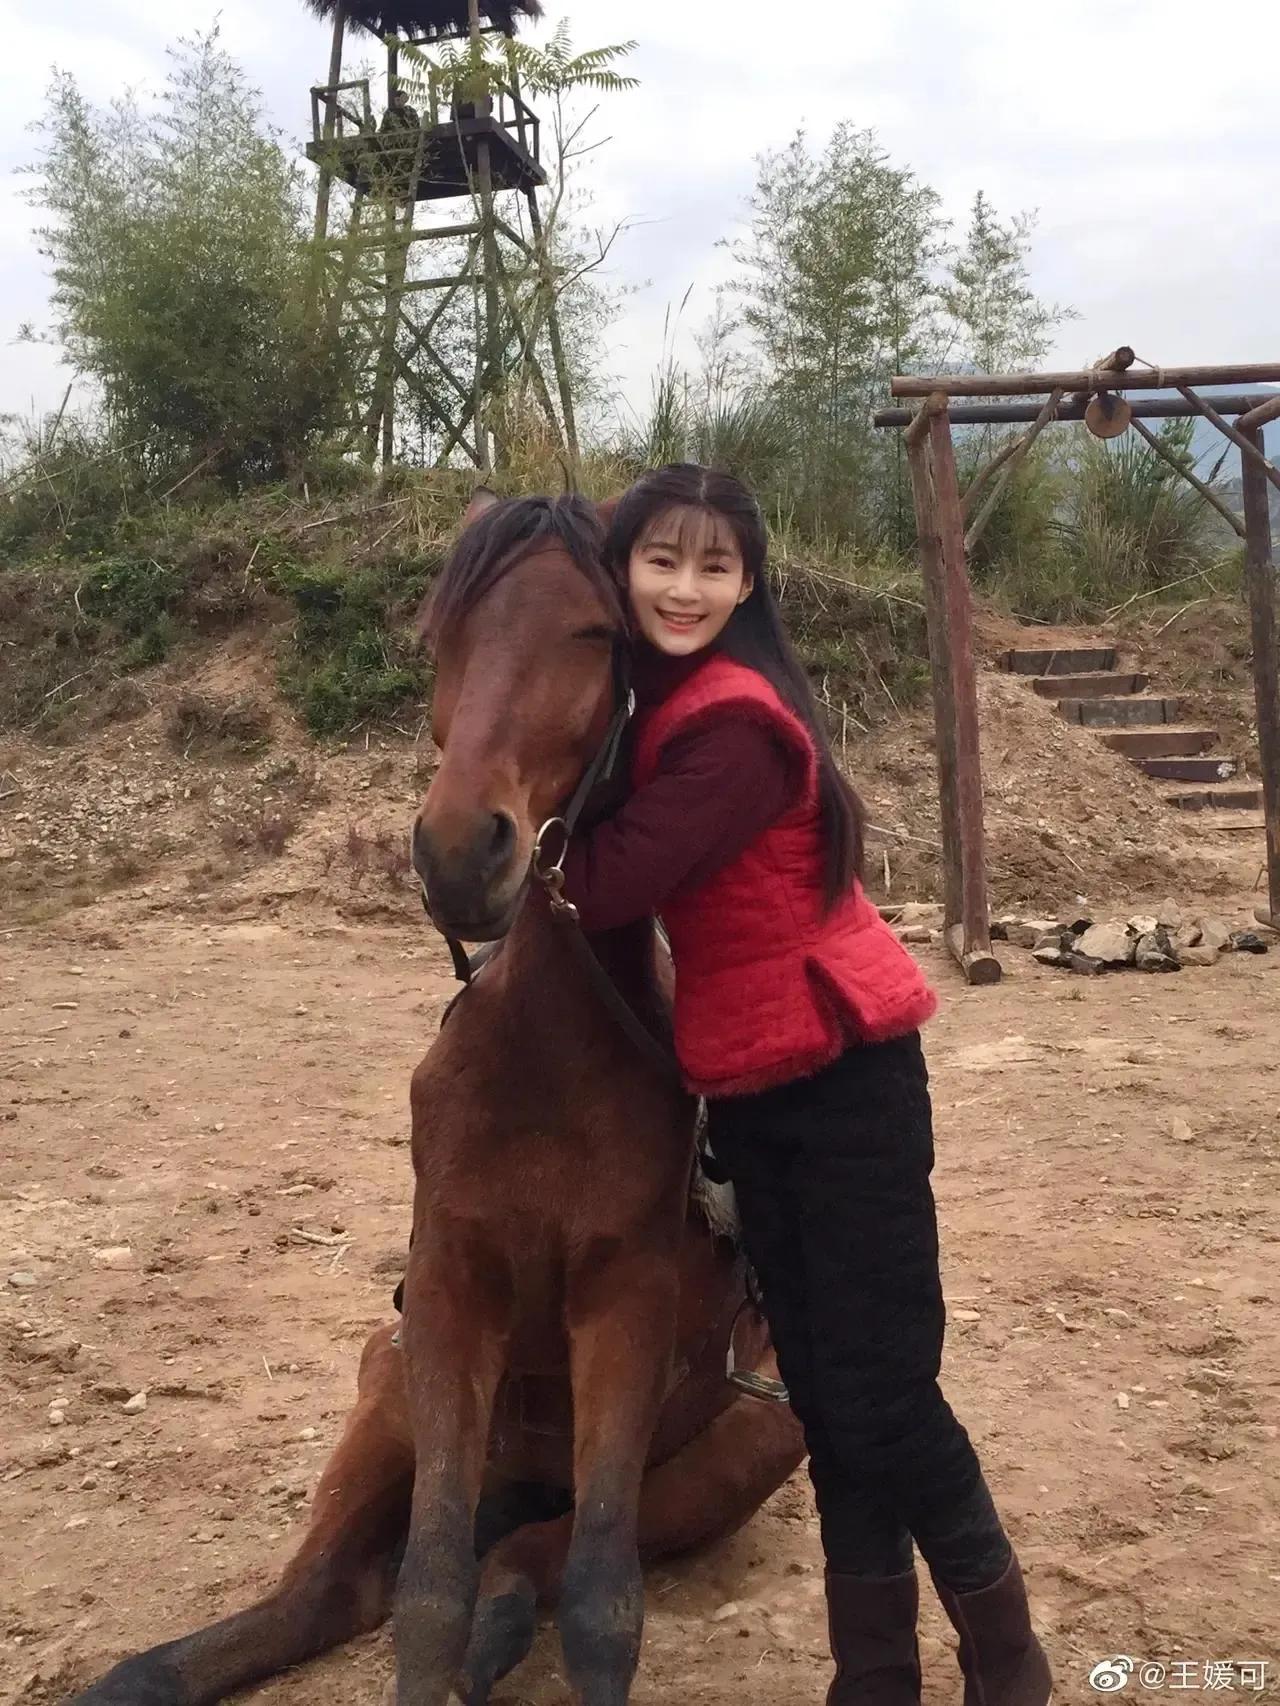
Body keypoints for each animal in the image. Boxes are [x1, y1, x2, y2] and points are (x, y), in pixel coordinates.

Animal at [70, 490, 804, 1706]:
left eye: (595, 634)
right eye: (441, 634)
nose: (461, 848)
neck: (545, 1057)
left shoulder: (625, 1310)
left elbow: (601, 1603)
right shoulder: (452, 1299)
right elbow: (422, 1597)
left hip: (746, 1448)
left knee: (528, 1555)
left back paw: (502, 1624)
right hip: (389, 1390)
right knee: (332, 1590)